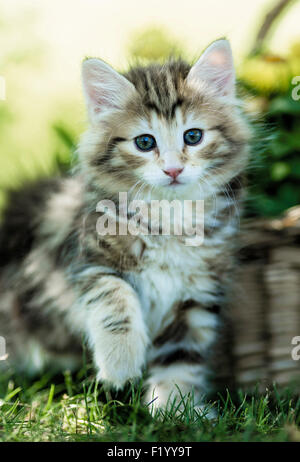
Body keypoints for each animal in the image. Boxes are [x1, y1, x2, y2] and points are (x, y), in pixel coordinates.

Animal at [0, 39, 251, 416]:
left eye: (193, 136)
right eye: (145, 142)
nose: (173, 170)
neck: (169, 216)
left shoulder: (197, 294)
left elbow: (181, 355)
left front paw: (176, 409)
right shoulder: (85, 261)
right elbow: (115, 299)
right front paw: (120, 365)